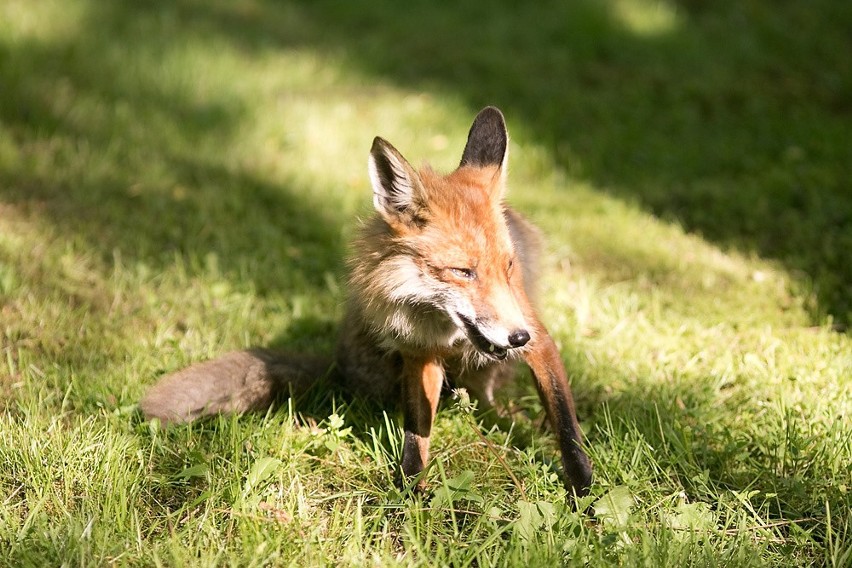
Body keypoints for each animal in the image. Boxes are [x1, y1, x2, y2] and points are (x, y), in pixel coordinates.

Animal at [140, 106, 592, 496]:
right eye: (463, 272)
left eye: (509, 266)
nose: (518, 337)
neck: (444, 328)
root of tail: (339, 362)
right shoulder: (419, 354)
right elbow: (415, 436)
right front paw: (411, 495)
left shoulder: (539, 340)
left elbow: (568, 430)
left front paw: (585, 498)